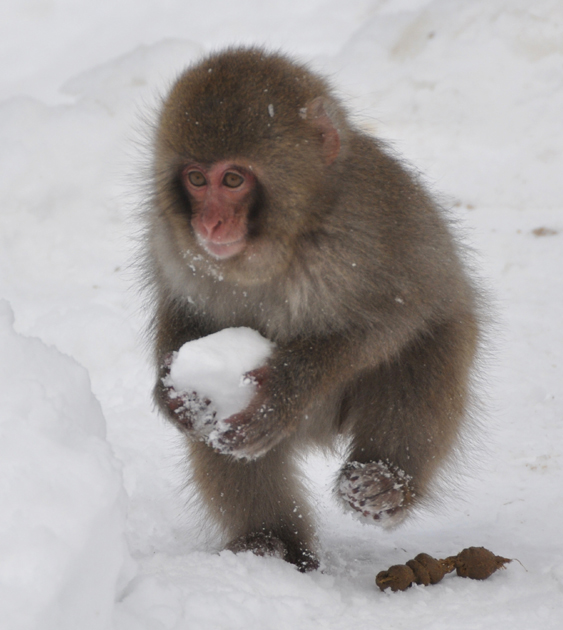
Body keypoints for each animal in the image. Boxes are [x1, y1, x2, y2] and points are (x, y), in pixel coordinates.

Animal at [143, 48, 482, 572]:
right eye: (196, 179)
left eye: (233, 179)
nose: (210, 223)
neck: (286, 238)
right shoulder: (170, 244)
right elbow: (182, 308)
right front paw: (170, 393)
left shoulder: (367, 235)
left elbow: (389, 321)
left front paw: (283, 390)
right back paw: (270, 542)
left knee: (420, 359)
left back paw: (386, 484)